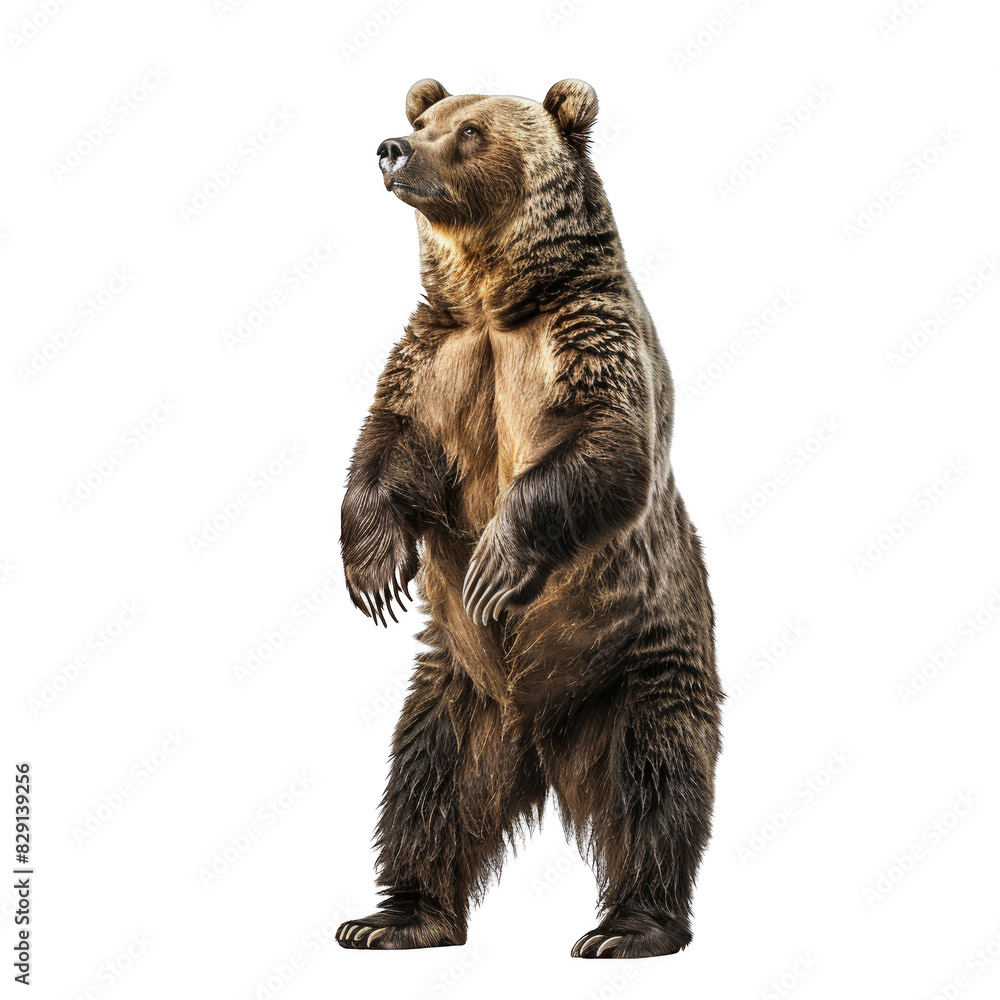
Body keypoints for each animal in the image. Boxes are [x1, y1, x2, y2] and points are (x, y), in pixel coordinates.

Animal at [336, 78, 722, 959]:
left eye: (471, 132)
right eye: (424, 119)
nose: (391, 148)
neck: (497, 301)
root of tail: (540, 738)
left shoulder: (586, 337)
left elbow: (604, 444)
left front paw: (494, 563)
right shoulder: (435, 355)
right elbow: (383, 445)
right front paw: (373, 569)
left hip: (644, 658)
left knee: (657, 777)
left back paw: (631, 926)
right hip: (455, 686)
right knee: (426, 783)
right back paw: (394, 916)